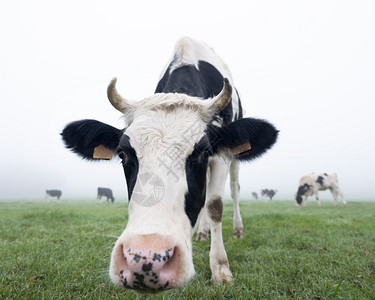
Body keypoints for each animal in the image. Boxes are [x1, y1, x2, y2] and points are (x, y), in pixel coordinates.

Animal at [61, 37, 280, 292]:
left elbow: (215, 205)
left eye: (204, 152)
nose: (146, 258)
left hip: (234, 160)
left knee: (233, 190)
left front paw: (220, 269)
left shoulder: (220, 157)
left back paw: (237, 229)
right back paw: (202, 232)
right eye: (123, 154)